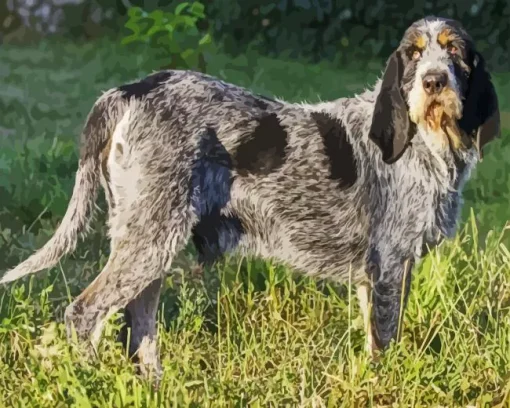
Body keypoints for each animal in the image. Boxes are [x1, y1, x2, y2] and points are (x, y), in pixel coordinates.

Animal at [0, 15, 500, 380]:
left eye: (454, 51)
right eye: (414, 54)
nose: (434, 81)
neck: (426, 141)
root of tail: (129, 91)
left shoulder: (381, 272)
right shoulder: (389, 265)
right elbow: (385, 340)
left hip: (148, 240)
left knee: (138, 322)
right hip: (151, 239)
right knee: (85, 313)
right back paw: (94, 381)